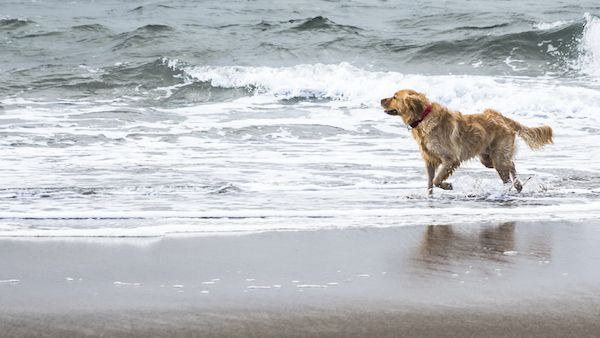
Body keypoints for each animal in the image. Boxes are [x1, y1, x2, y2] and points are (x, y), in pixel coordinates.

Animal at [380, 90, 552, 194]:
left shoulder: (450, 159)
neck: (423, 117)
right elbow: (430, 182)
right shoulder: (430, 160)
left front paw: (447, 186)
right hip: (487, 158)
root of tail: (502, 117)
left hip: (498, 157)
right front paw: (428, 197)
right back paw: (516, 185)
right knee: (511, 164)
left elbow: (437, 179)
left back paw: (513, 186)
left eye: (395, 97)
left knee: (508, 169)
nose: (381, 99)